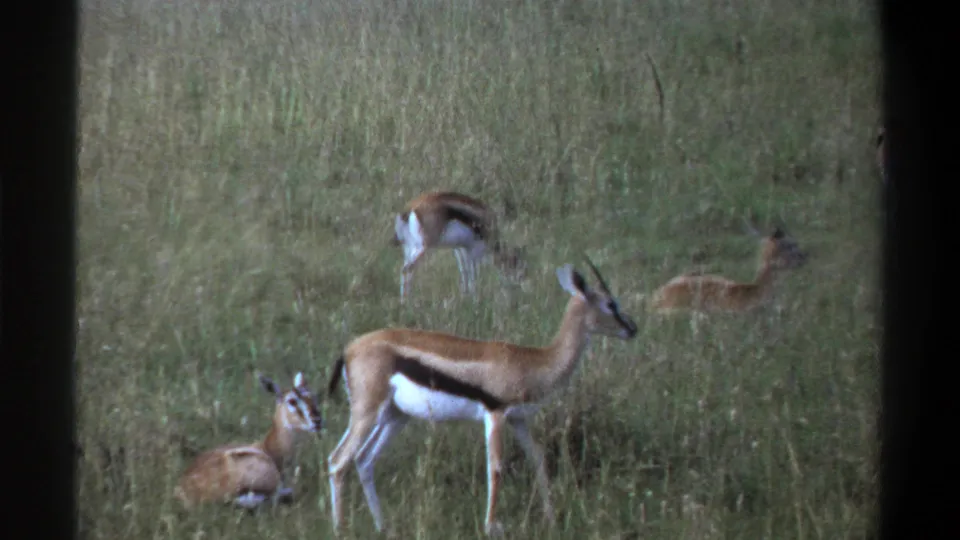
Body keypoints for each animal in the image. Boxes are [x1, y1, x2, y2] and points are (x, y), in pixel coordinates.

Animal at [324, 258, 638, 536]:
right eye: (610, 304)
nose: (632, 329)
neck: (533, 361)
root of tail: (349, 348)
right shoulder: (495, 414)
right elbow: (495, 468)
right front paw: (491, 527)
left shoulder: (519, 420)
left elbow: (537, 459)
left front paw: (551, 519)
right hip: (367, 414)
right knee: (338, 461)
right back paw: (341, 529)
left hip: (395, 417)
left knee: (364, 460)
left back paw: (383, 526)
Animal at [391, 191, 527, 301]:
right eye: (515, 264)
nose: (519, 286)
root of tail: (410, 209)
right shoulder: (474, 251)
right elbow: (473, 275)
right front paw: (475, 299)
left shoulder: (460, 249)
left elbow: (464, 271)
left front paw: (465, 296)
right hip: (424, 247)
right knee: (407, 269)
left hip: (409, 248)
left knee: (406, 270)